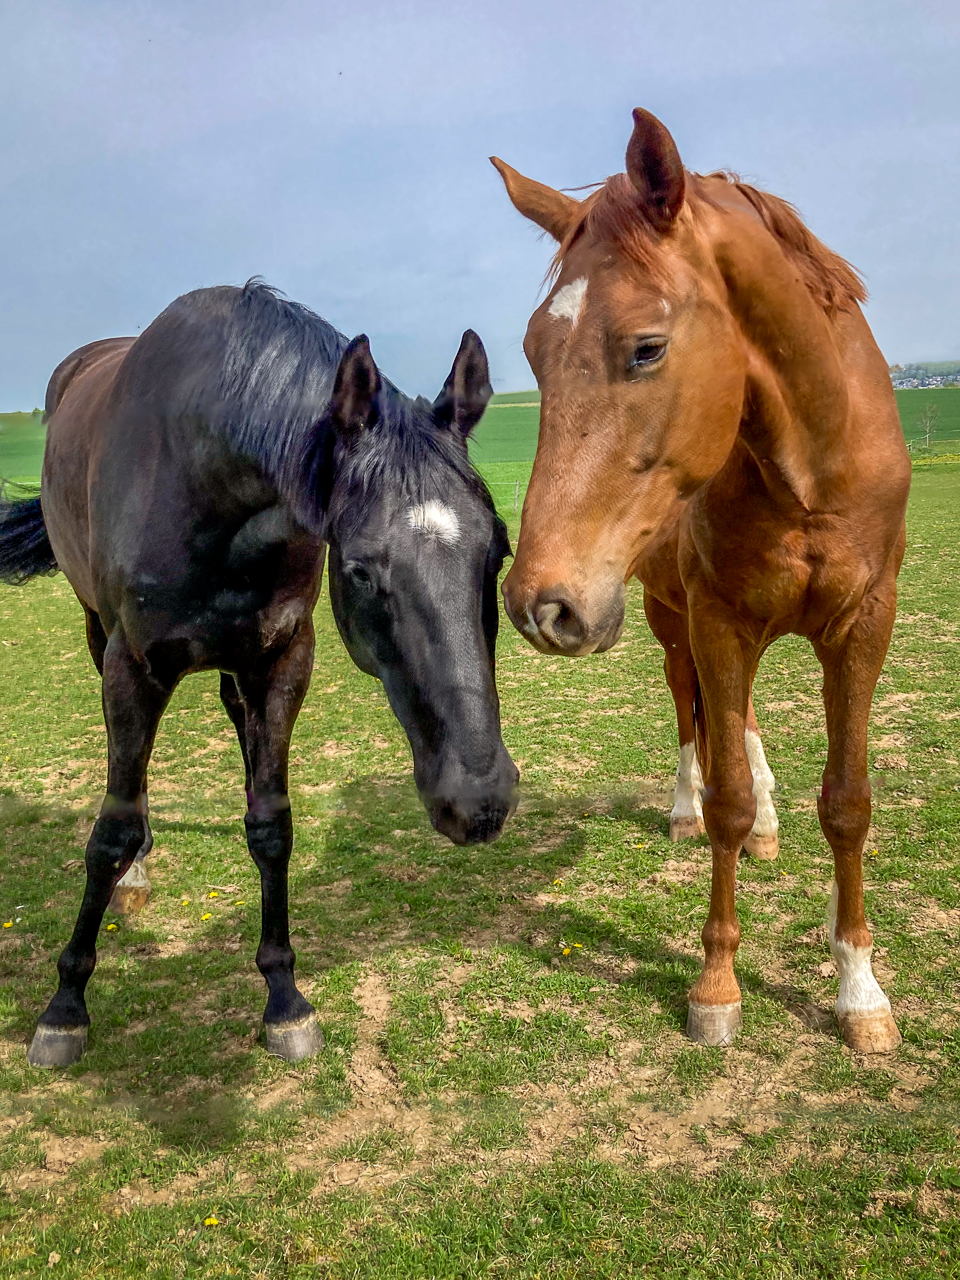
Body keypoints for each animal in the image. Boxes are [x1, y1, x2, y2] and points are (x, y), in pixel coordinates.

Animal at [0, 282, 519, 1070]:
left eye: (499, 550)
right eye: (359, 570)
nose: (480, 800)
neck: (201, 475)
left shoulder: (283, 659)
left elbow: (272, 824)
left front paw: (284, 997)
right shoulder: (131, 668)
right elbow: (111, 830)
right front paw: (64, 1008)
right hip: (97, 629)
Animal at [496, 107, 911, 1049]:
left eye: (647, 348)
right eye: (534, 353)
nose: (541, 604)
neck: (812, 465)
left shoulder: (863, 627)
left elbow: (849, 803)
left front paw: (861, 992)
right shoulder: (718, 619)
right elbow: (723, 790)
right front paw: (717, 985)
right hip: (668, 615)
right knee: (690, 711)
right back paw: (689, 806)